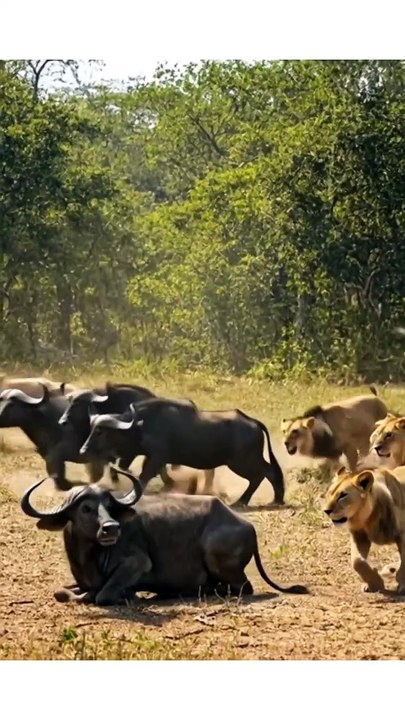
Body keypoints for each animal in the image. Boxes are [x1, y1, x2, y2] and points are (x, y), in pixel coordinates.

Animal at [323, 465, 405, 594]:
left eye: (343, 495)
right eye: (330, 493)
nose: (326, 510)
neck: (368, 518)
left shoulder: (402, 536)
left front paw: (402, 585)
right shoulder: (359, 536)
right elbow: (357, 562)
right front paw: (375, 584)